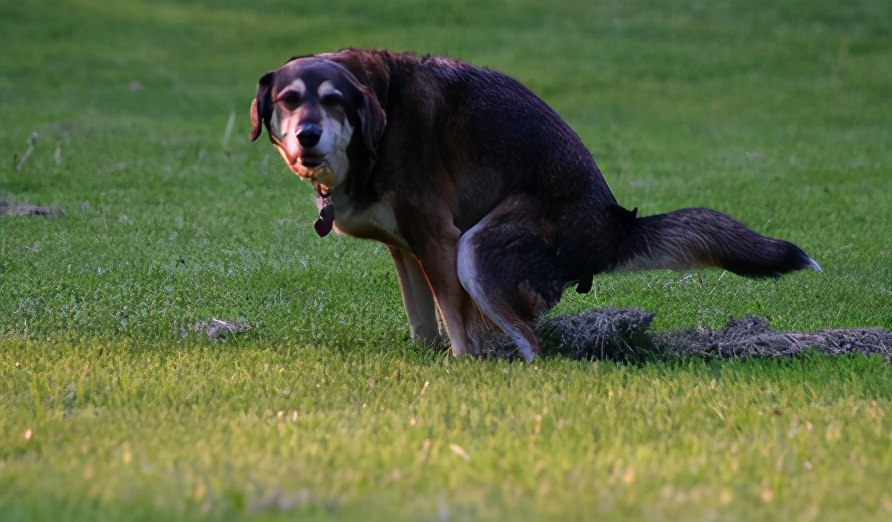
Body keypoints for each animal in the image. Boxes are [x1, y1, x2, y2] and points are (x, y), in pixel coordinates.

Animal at [247, 47, 820, 358]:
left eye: (334, 101)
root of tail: (613, 226)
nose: (308, 136)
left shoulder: (438, 239)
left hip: (477, 249)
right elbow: (423, 322)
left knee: (533, 344)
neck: (378, 123)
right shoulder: (406, 249)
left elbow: (458, 329)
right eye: (289, 100)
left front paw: (462, 367)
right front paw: (427, 356)